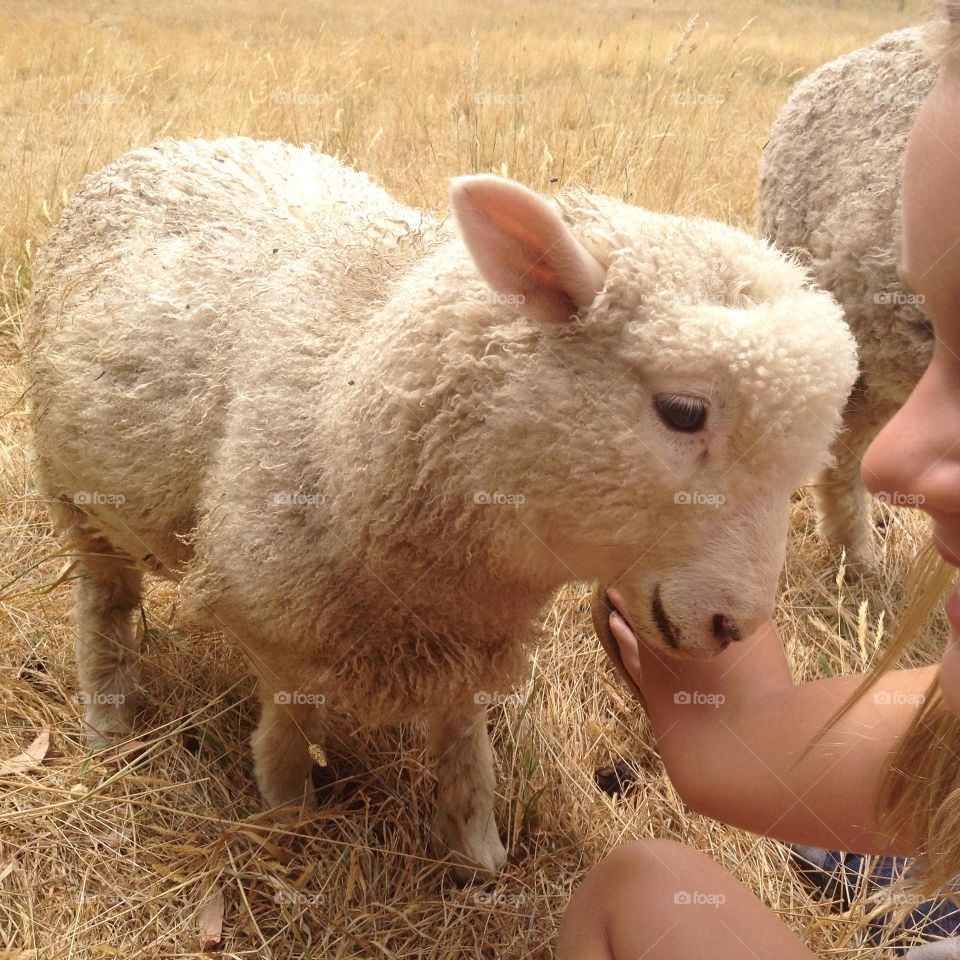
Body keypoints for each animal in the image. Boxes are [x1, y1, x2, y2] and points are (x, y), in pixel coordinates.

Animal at [24, 137, 858, 880]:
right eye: (684, 412)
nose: (734, 626)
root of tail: (176, 143)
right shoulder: (271, 608)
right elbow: (292, 723)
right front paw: (287, 812)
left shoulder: (468, 632)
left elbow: (463, 736)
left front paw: (476, 846)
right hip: (74, 493)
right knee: (104, 600)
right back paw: (108, 717)